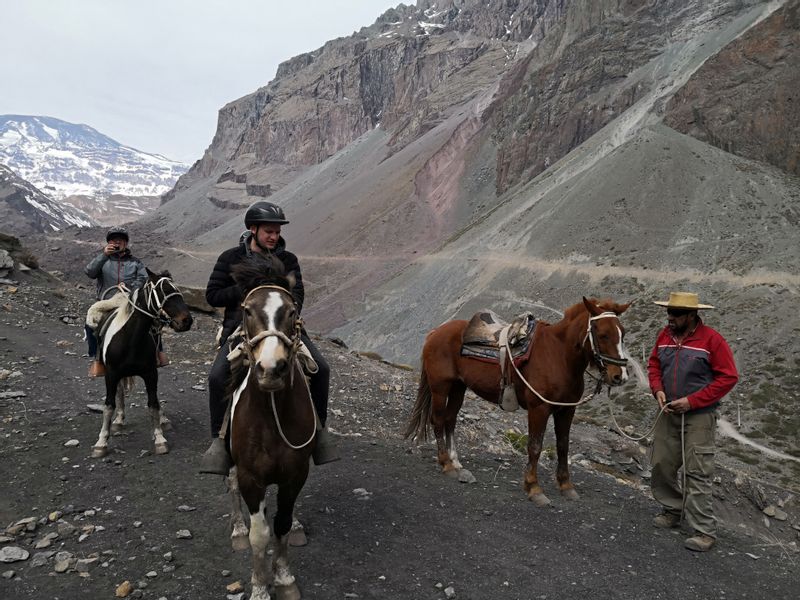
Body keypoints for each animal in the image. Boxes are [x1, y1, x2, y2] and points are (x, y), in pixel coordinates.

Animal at [90, 270, 192, 458]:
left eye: (177, 290)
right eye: (162, 291)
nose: (186, 320)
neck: (130, 339)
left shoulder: (151, 373)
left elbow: (153, 404)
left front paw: (159, 438)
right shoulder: (111, 374)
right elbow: (109, 406)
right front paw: (101, 442)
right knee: (120, 393)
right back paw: (119, 420)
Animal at [225, 255, 316, 600]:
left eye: (291, 311)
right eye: (247, 310)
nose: (271, 368)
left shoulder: (295, 475)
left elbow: (282, 524)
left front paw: (284, 577)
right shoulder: (251, 477)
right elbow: (259, 536)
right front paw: (260, 586)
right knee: (232, 485)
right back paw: (238, 528)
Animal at [406, 298, 632, 504]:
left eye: (623, 333)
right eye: (602, 334)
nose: (619, 376)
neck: (559, 356)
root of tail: (436, 332)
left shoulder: (566, 411)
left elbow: (563, 446)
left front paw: (566, 486)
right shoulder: (539, 408)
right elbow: (535, 446)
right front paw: (534, 488)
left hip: (458, 388)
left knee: (450, 419)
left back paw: (455, 462)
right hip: (440, 388)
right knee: (438, 420)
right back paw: (446, 464)